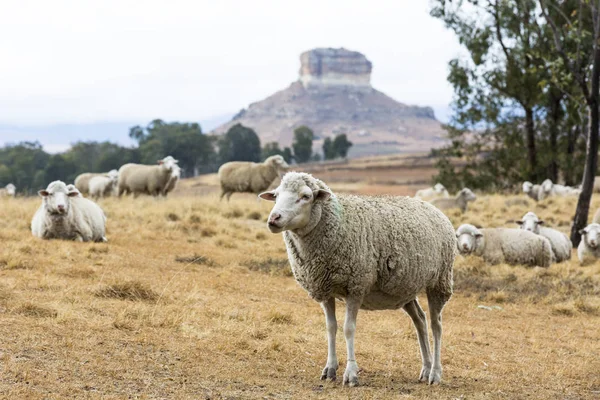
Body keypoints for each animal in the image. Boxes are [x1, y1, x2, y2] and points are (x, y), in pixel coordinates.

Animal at [258, 173, 454, 386]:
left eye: (305, 196)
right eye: (276, 195)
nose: (274, 218)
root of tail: (433, 208)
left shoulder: (356, 287)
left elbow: (348, 329)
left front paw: (351, 373)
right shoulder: (325, 288)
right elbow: (331, 327)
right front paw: (330, 369)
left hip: (440, 281)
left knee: (436, 325)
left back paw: (435, 373)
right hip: (405, 289)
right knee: (420, 320)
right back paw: (425, 369)